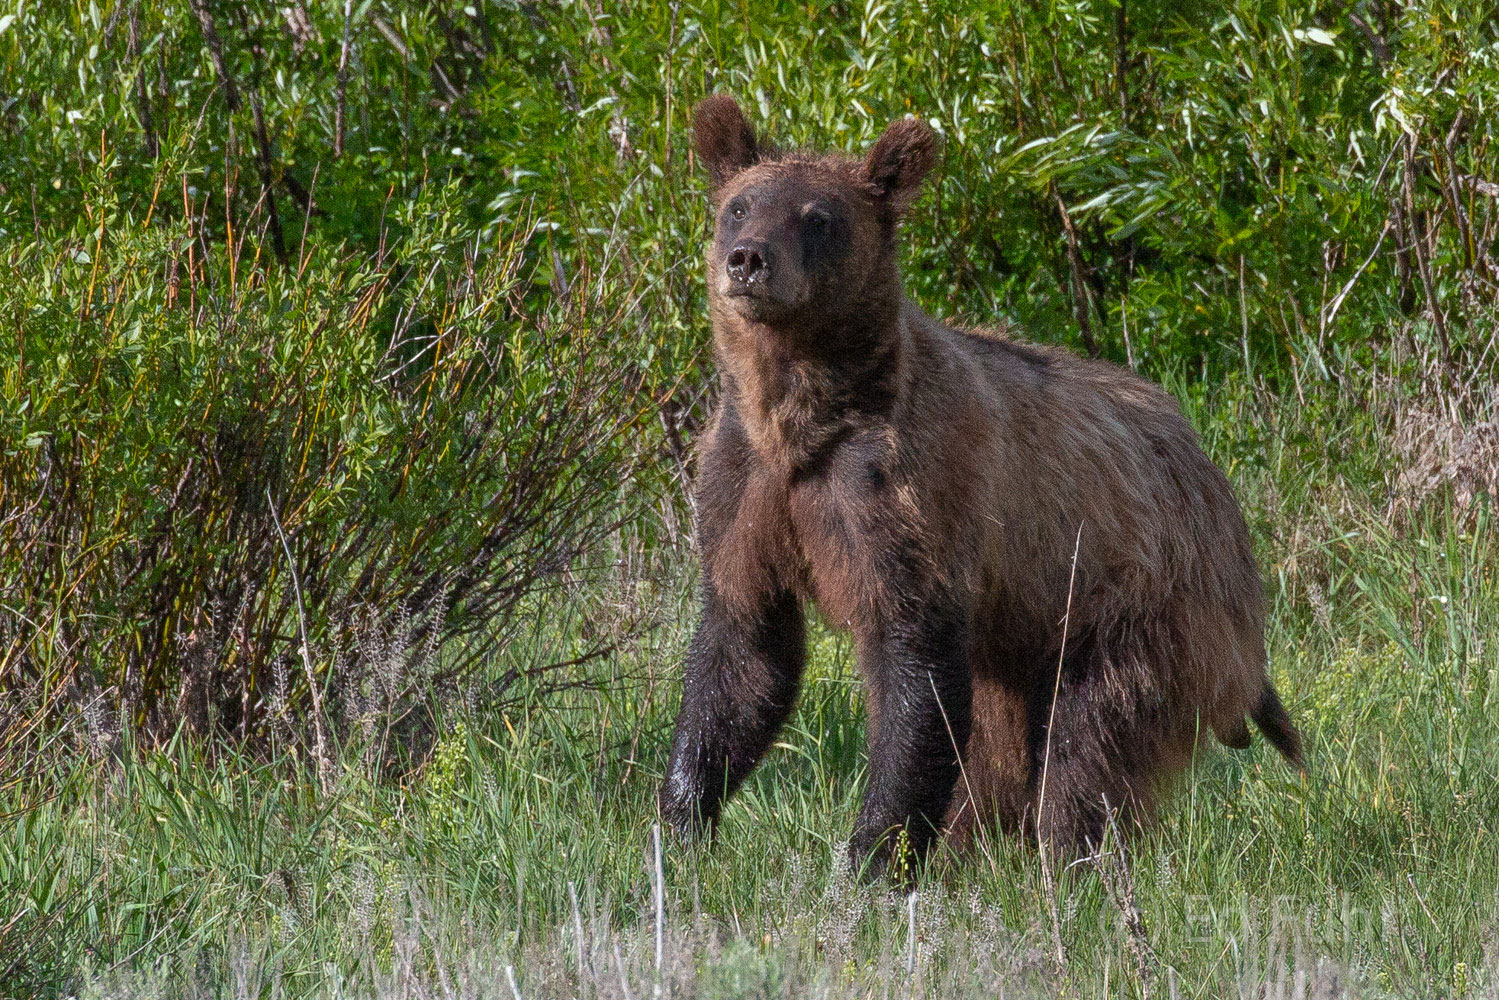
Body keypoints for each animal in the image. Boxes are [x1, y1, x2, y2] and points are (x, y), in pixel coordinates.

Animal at [656, 93, 1301, 875]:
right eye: (739, 205)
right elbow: (744, 654)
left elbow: (914, 667)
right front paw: (681, 822)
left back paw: (1069, 861)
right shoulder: (744, 488)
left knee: (1084, 747)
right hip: (1017, 645)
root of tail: (1211, 481)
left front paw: (868, 855)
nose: (748, 259)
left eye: (818, 216)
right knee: (997, 754)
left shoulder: (907, 493)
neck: (803, 419)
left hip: (1137, 606)